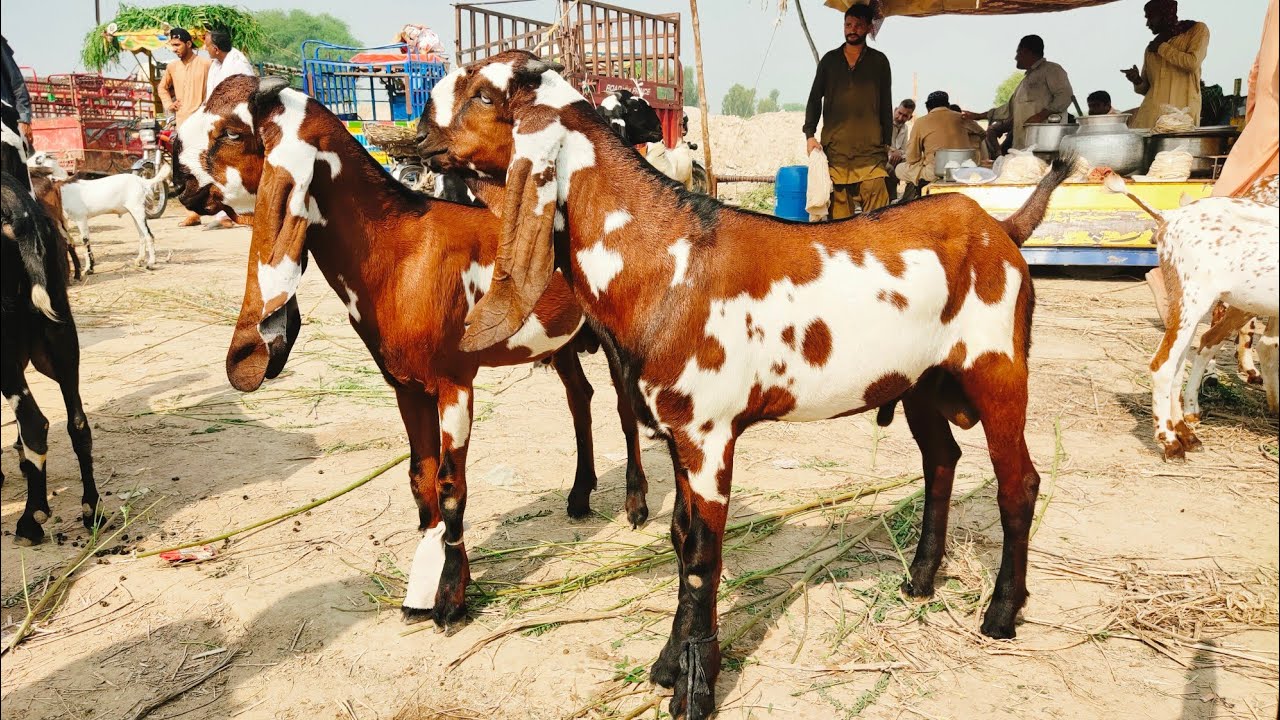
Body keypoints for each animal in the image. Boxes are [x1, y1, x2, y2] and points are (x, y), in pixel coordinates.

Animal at [171, 75, 651, 627]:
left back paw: (636, 506)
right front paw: (425, 585)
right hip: (564, 341)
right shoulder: (404, 384)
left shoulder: (453, 382)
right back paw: (578, 494)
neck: (399, 249)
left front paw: (450, 599)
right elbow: (421, 481)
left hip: (611, 336)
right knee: (580, 399)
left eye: (231, 132)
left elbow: (450, 486)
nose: (176, 180)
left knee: (623, 409)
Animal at [421, 51, 1072, 718]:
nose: (418, 132)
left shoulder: (709, 436)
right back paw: (918, 580)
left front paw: (697, 687)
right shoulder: (679, 434)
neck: (667, 256)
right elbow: (680, 538)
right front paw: (668, 666)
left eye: (483, 94)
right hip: (921, 382)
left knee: (1018, 484)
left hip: (998, 371)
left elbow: (702, 558)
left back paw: (1001, 613)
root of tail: (1002, 229)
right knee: (941, 461)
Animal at [1105, 173, 1279, 458]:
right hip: (1192, 300)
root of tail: (1168, 217)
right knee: (1162, 365)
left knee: (1181, 364)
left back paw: (1186, 434)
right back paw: (1170, 441)